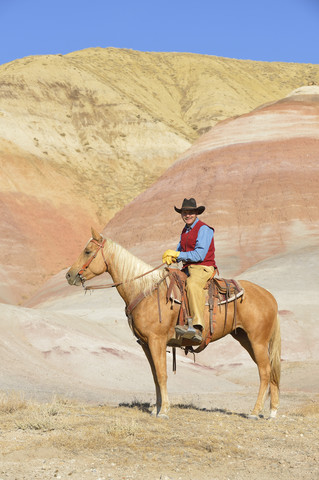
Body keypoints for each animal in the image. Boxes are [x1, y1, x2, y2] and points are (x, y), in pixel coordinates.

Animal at [66, 227, 282, 418]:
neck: (145, 290)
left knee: (264, 371)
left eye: (87, 251)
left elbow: (162, 375)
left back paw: (255, 412)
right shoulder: (146, 344)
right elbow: (155, 376)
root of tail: (269, 297)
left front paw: (164, 410)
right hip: (246, 340)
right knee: (269, 371)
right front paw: (156, 408)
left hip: (257, 341)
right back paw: (271, 412)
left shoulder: (157, 341)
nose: (69, 275)